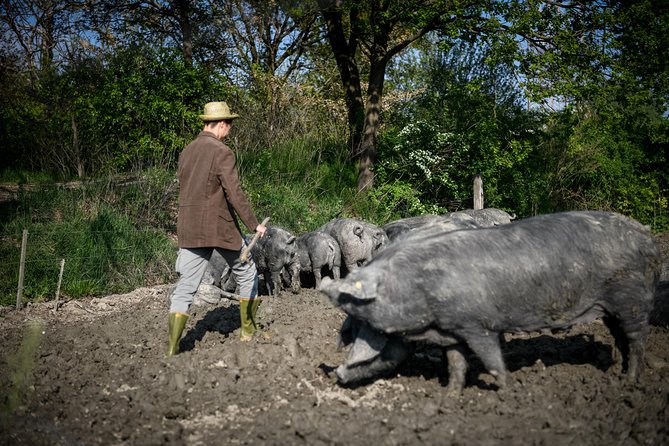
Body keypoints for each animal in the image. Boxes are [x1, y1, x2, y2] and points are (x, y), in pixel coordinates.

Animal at [320, 212, 660, 394]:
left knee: (637, 340)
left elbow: (492, 360)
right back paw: (615, 372)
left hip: (632, 300)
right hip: (613, 310)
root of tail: (648, 238)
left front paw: (506, 391)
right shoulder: (452, 330)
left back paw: (630, 381)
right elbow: (456, 363)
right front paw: (450, 396)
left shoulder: (478, 326)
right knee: (620, 339)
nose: (337, 375)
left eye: (376, 339)